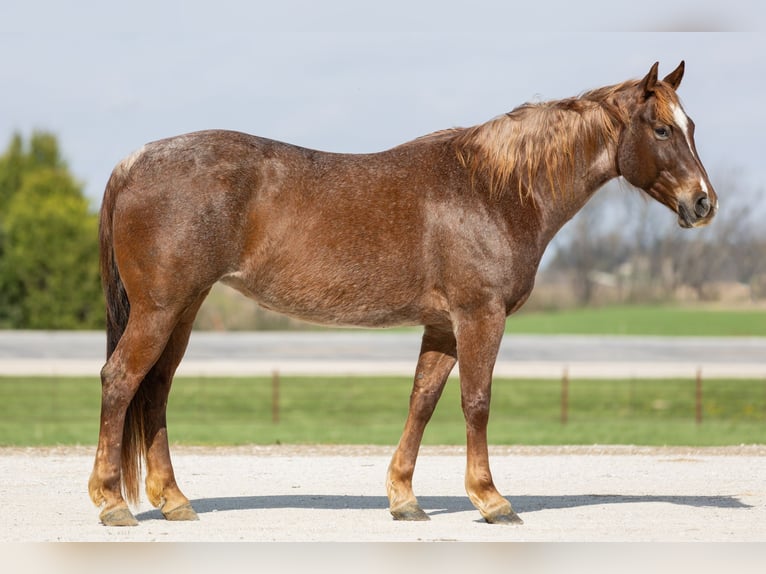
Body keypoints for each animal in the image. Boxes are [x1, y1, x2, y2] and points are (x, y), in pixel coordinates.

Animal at [89, 61, 717, 526]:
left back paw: (174, 501)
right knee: (121, 381)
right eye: (661, 129)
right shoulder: (479, 316)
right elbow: (476, 401)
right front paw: (491, 500)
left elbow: (422, 401)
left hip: (183, 309)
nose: (703, 203)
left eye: (690, 126)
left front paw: (404, 498)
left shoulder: (441, 325)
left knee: (155, 390)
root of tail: (133, 161)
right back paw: (112, 501)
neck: (494, 190)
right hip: (161, 309)